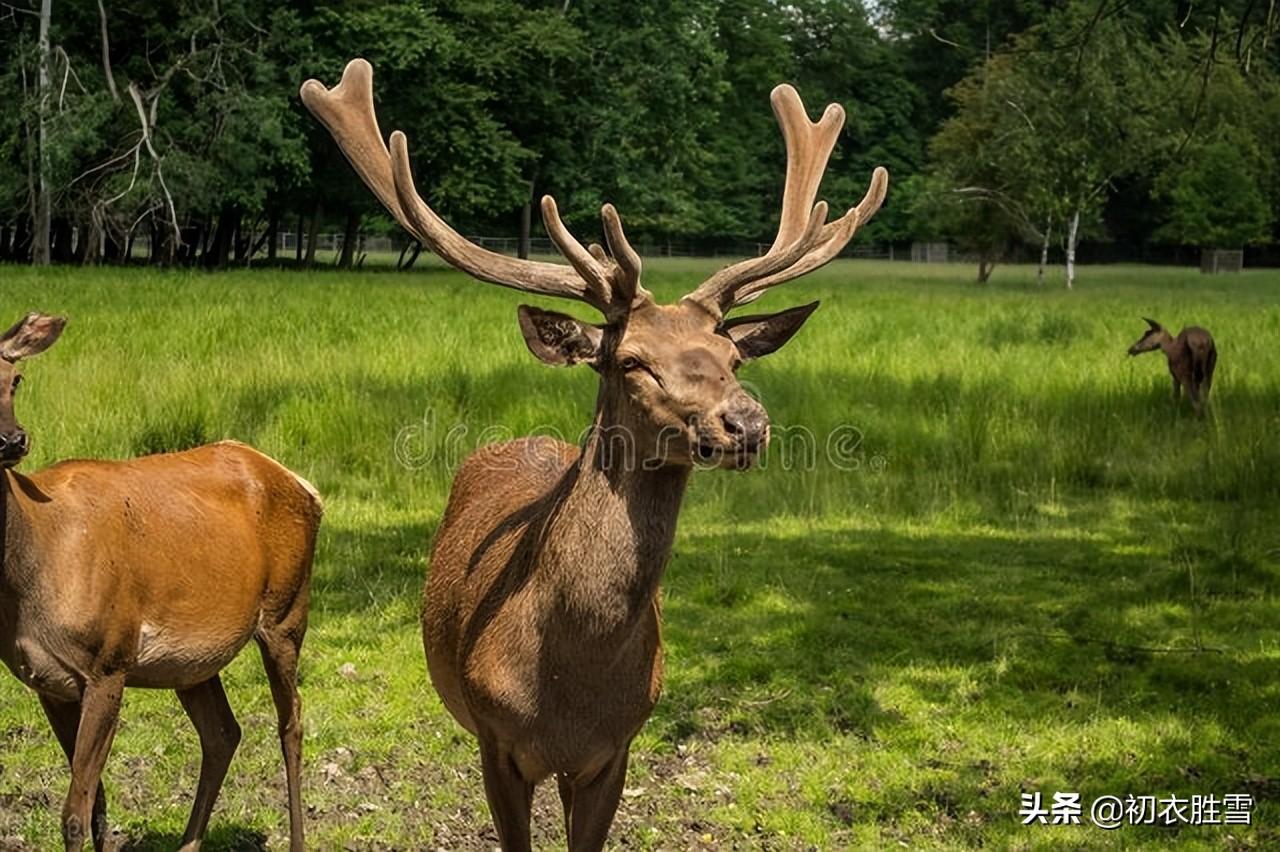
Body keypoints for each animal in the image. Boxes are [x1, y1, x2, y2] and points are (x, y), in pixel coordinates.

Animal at [0, 313, 320, 849]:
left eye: (16, 379)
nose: (12, 440)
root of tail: (306, 486)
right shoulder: (47, 681)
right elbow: (97, 806)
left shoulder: (109, 660)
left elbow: (74, 812)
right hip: (193, 660)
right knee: (223, 732)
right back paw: (189, 841)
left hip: (287, 610)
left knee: (291, 720)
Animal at [303, 59, 885, 849]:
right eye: (632, 361)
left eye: (732, 356)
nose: (747, 423)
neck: (569, 684)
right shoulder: (497, 744)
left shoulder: (618, 748)